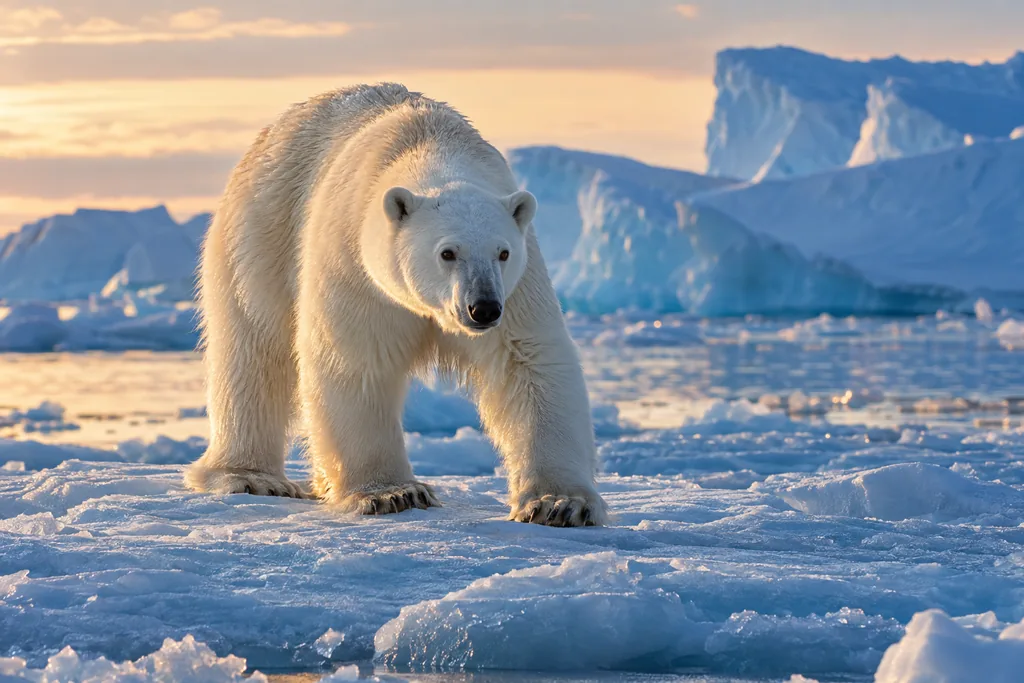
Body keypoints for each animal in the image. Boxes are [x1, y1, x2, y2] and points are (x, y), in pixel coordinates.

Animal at [184, 83, 608, 527]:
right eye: (447, 252)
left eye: (503, 252)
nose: (483, 308)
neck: (430, 143)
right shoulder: (356, 265)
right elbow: (355, 359)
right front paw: (392, 493)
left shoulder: (519, 287)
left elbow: (527, 360)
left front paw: (560, 503)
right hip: (260, 232)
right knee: (252, 349)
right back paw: (250, 476)